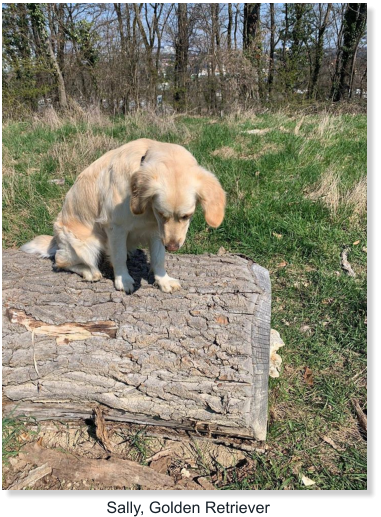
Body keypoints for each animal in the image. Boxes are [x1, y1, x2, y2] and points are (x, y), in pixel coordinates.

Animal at [21, 137, 226, 292]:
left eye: (186, 216)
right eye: (161, 213)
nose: (173, 247)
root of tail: (55, 240)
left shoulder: (156, 231)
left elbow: (159, 258)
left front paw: (163, 280)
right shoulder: (116, 227)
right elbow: (119, 256)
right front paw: (124, 280)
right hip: (86, 245)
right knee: (61, 261)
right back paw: (89, 271)